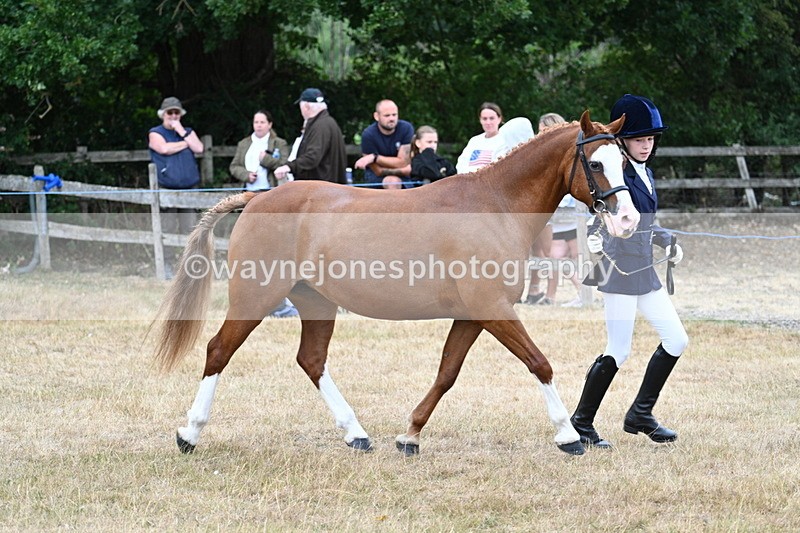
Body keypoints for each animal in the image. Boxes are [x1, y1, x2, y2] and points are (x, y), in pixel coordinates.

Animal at [152, 111, 638, 457]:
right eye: (596, 163)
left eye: (628, 162)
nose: (629, 220)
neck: (496, 205)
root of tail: (259, 197)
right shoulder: (494, 309)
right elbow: (539, 363)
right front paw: (568, 437)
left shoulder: (473, 315)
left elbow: (446, 373)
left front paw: (410, 436)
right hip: (256, 298)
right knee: (219, 350)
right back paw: (188, 434)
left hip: (315, 303)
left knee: (311, 360)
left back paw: (356, 434)